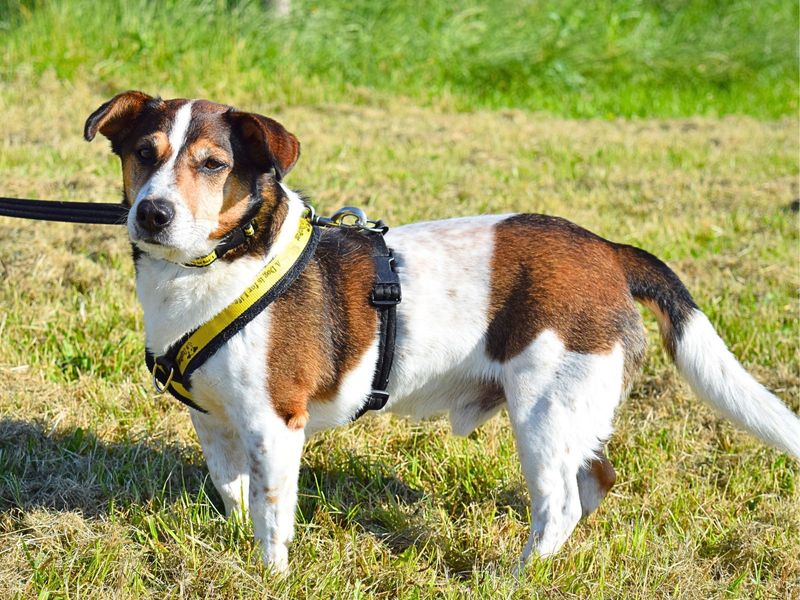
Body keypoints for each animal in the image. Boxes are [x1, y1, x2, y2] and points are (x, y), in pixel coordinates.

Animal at [84, 92, 800, 572]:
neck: (220, 262)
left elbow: (271, 512)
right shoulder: (214, 421)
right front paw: (234, 546)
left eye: (211, 165)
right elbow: (234, 495)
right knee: (593, 481)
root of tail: (608, 252)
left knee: (560, 504)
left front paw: (271, 575)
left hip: (542, 412)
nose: (152, 213)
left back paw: (520, 578)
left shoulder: (274, 422)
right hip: (573, 411)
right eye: (143, 154)